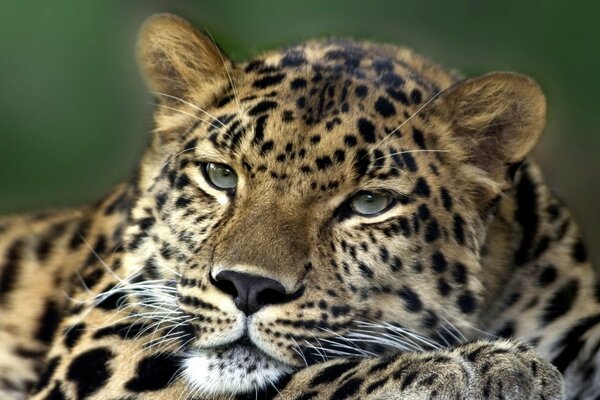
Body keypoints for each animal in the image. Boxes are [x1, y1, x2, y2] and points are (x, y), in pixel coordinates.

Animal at [1, 13, 600, 400]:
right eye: (221, 175)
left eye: (369, 203)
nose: (247, 287)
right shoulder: (102, 339)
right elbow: (316, 376)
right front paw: (480, 369)